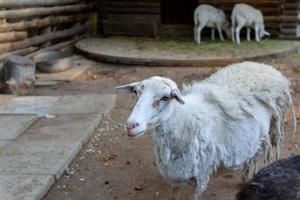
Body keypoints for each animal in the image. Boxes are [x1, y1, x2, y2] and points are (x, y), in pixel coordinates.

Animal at [116, 61, 296, 199]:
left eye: (165, 97)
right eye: (135, 92)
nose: (131, 126)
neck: (185, 120)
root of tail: (263, 66)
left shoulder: (202, 174)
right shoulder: (175, 174)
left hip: (272, 128)